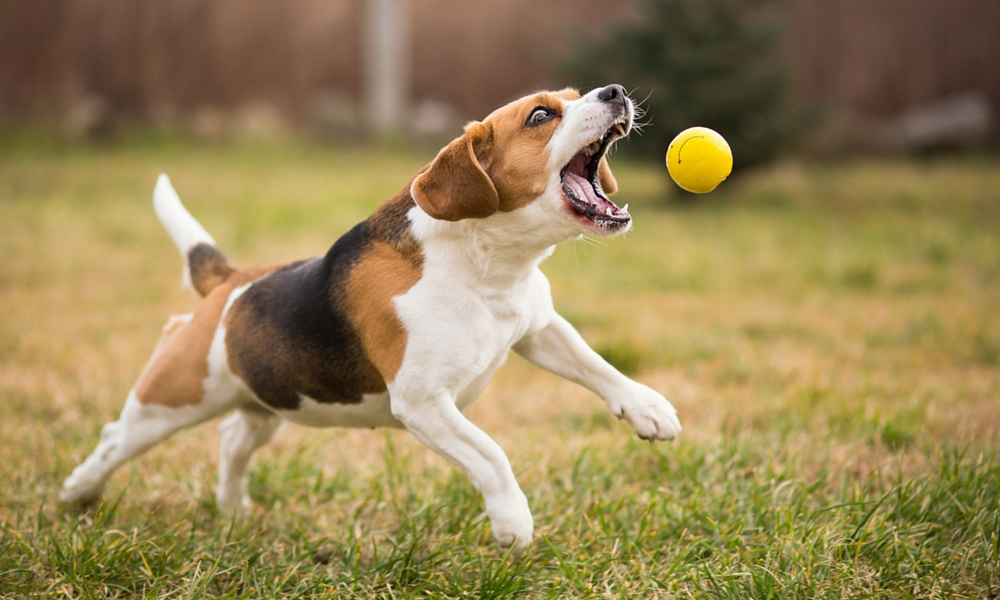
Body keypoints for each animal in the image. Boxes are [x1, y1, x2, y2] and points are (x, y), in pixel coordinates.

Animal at [62, 84, 680, 552]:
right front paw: (513, 521)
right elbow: (491, 454)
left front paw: (649, 409)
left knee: (233, 437)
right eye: (541, 116)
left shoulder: (538, 328)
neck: (488, 264)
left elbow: (598, 367)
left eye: (577, 97)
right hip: (170, 399)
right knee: (116, 437)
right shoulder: (424, 402)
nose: (615, 91)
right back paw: (77, 495)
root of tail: (231, 282)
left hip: (269, 400)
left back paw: (233, 509)